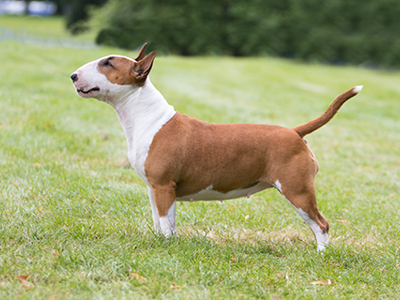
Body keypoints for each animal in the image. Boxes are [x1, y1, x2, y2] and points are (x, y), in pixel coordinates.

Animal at [72, 44, 362, 251]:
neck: (148, 117)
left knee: (321, 224)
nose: (73, 76)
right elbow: (161, 221)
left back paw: (321, 255)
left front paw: (166, 248)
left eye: (108, 63)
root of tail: (294, 132)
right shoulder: (154, 189)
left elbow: (166, 222)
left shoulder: (164, 186)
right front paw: (161, 242)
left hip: (297, 189)